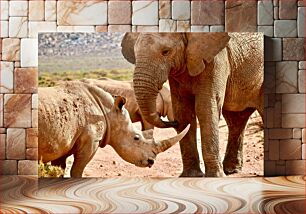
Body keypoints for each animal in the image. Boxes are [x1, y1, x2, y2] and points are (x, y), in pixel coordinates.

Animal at [38, 80, 189, 177]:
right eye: (136, 138)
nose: (151, 161)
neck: (108, 113)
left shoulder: (62, 143)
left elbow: (58, 169)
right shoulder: (91, 141)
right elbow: (77, 171)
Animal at [120, 32, 264, 177]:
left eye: (166, 52)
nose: (173, 122)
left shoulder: (216, 59)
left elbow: (205, 108)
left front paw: (215, 177)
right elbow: (183, 111)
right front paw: (191, 176)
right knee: (236, 120)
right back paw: (231, 170)